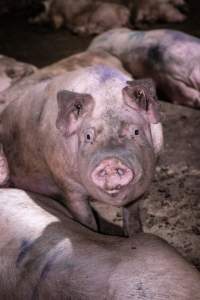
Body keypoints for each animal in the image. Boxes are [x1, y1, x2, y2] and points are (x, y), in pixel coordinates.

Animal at [0, 63, 162, 237]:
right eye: (88, 136)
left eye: (136, 132)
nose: (111, 161)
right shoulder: (66, 182)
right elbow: (84, 216)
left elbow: (132, 213)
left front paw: (135, 235)